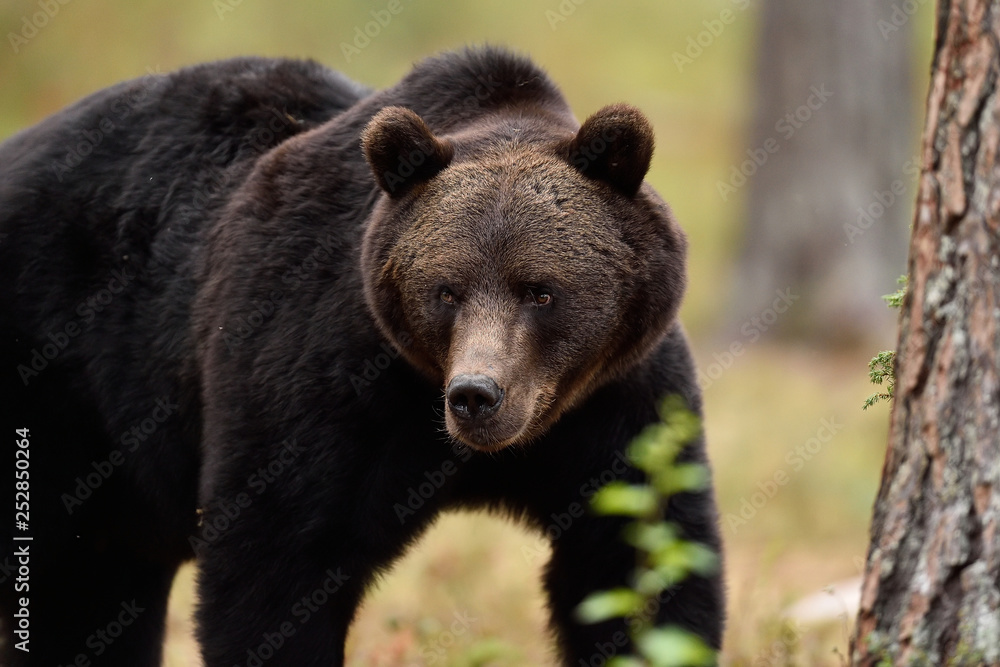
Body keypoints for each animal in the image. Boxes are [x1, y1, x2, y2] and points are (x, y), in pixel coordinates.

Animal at [0, 48, 724, 667]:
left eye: (541, 290)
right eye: (446, 290)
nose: (476, 395)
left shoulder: (619, 400)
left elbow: (639, 558)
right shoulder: (319, 372)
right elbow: (274, 566)